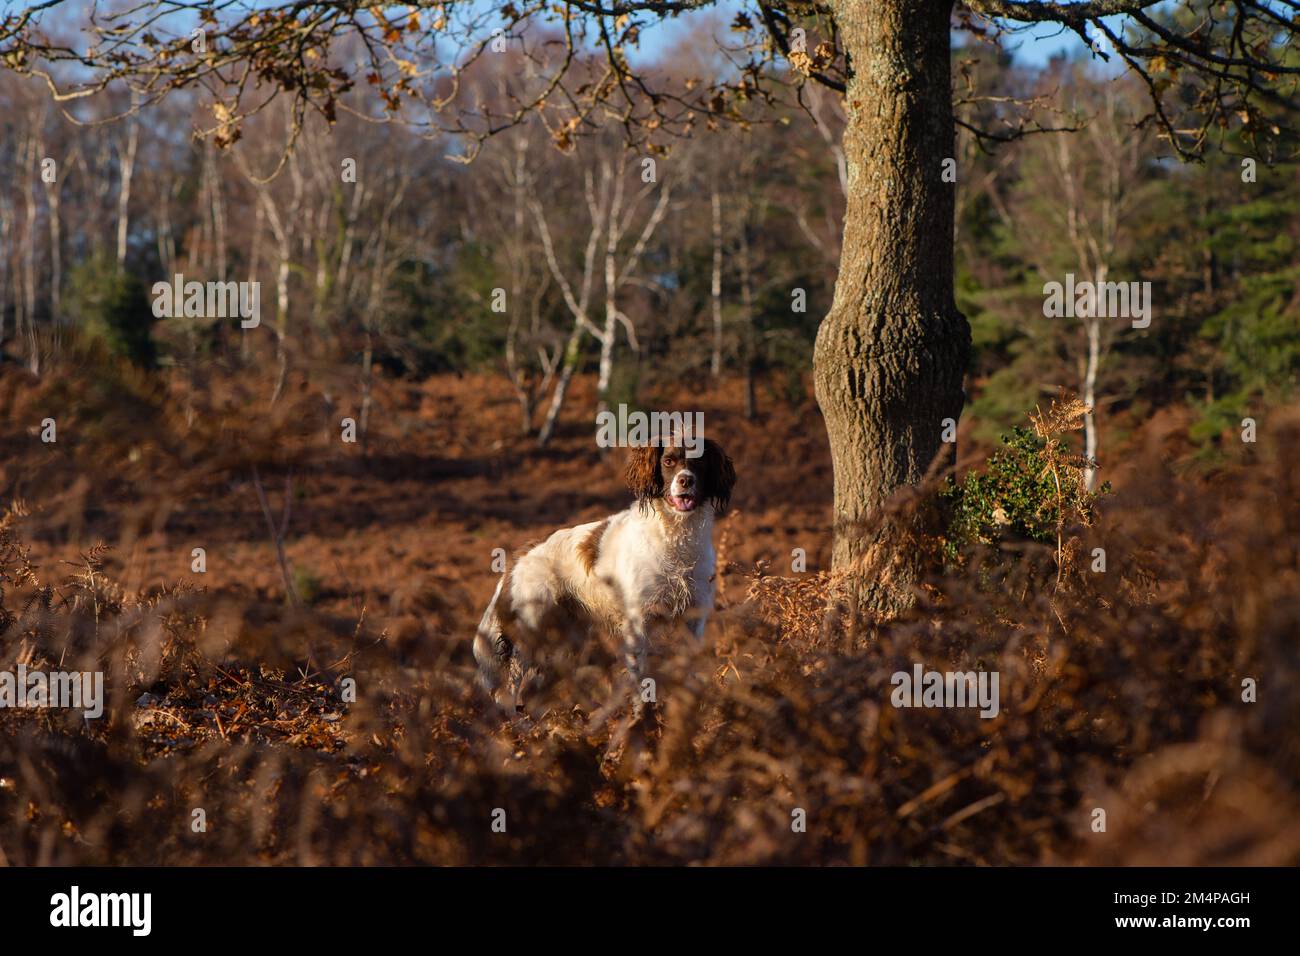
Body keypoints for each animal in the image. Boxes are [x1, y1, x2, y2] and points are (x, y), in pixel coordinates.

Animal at [475, 439, 738, 712]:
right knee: (510, 689)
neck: (676, 536)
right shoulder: (638, 622)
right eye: (668, 461)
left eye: (700, 461)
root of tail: (519, 558)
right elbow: (641, 679)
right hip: (531, 633)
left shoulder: (694, 616)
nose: (685, 480)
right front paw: (642, 717)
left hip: (565, 638)